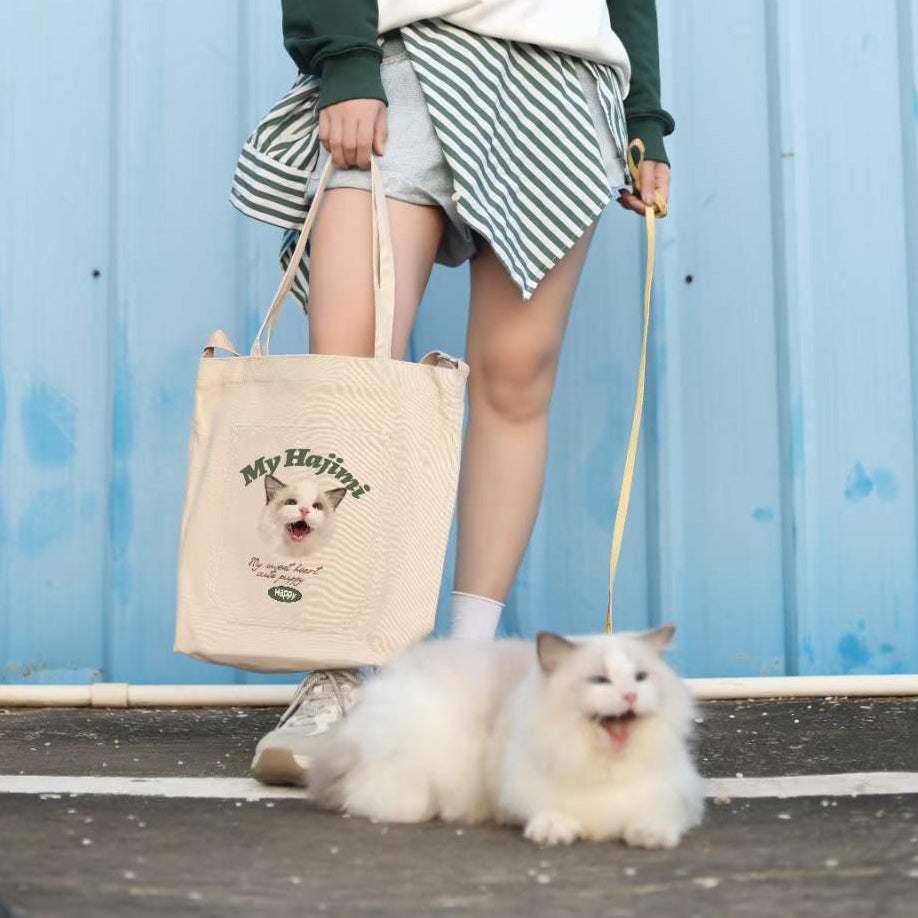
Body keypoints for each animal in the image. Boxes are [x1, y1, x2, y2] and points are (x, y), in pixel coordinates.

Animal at [308, 626, 705, 847]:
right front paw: (555, 830)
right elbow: (546, 812)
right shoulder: (519, 792)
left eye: (640, 677)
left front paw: (650, 836)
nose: (630, 696)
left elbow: (656, 817)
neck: (603, 767)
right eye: (599, 680)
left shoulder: (671, 797)